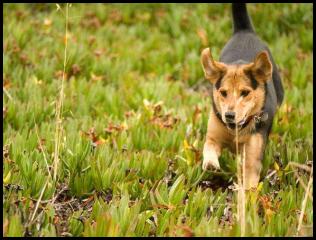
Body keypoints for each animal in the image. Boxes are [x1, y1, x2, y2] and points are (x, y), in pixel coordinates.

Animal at [201, 2, 286, 189]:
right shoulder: (214, 135)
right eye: (223, 93)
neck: (236, 130)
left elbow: (249, 179)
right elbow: (209, 147)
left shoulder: (252, 157)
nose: (229, 115)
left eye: (245, 93)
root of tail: (244, 31)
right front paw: (211, 163)